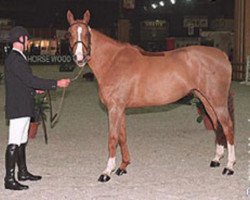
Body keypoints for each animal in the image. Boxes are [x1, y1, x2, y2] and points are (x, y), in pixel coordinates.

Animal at [66, 9, 234, 182]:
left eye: (87, 34)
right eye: (69, 33)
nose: (79, 58)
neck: (113, 61)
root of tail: (223, 55)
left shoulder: (114, 108)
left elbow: (112, 139)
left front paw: (107, 172)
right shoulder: (121, 109)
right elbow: (122, 136)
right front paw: (123, 166)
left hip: (217, 100)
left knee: (228, 127)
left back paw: (229, 167)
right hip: (206, 99)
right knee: (217, 125)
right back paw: (216, 159)